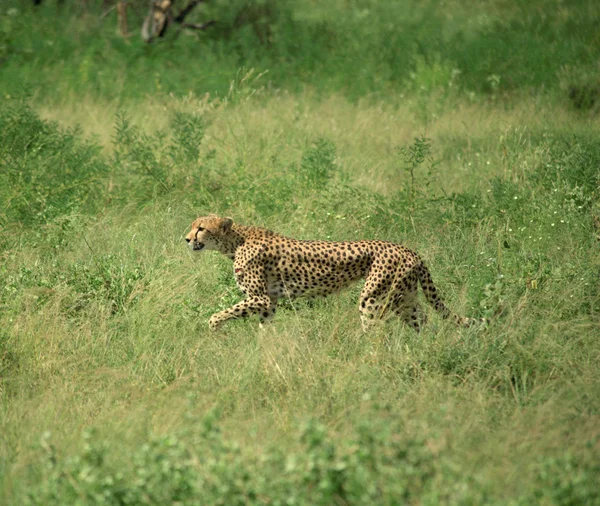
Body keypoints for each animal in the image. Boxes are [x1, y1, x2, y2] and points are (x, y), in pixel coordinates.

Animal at [186, 214, 478, 330]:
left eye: (201, 228)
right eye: (192, 226)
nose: (186, 239)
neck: (236, 241)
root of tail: (409, 250)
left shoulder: (260, 297)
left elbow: (217, 315)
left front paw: (215, 329)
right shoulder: (270, 301)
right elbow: (265, 328)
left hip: (374, 297)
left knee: (376, 331)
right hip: (404, 297)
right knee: (423, 320)